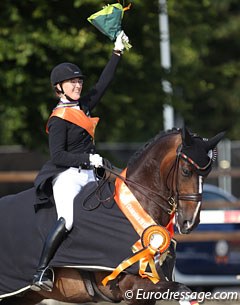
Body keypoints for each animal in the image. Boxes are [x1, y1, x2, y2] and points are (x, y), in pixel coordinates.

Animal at [0, 126, 225, 304]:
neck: (137, 206)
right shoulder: (134, 287)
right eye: (186, 171)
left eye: (206, 174)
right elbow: (183, 289)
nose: (190, 222)